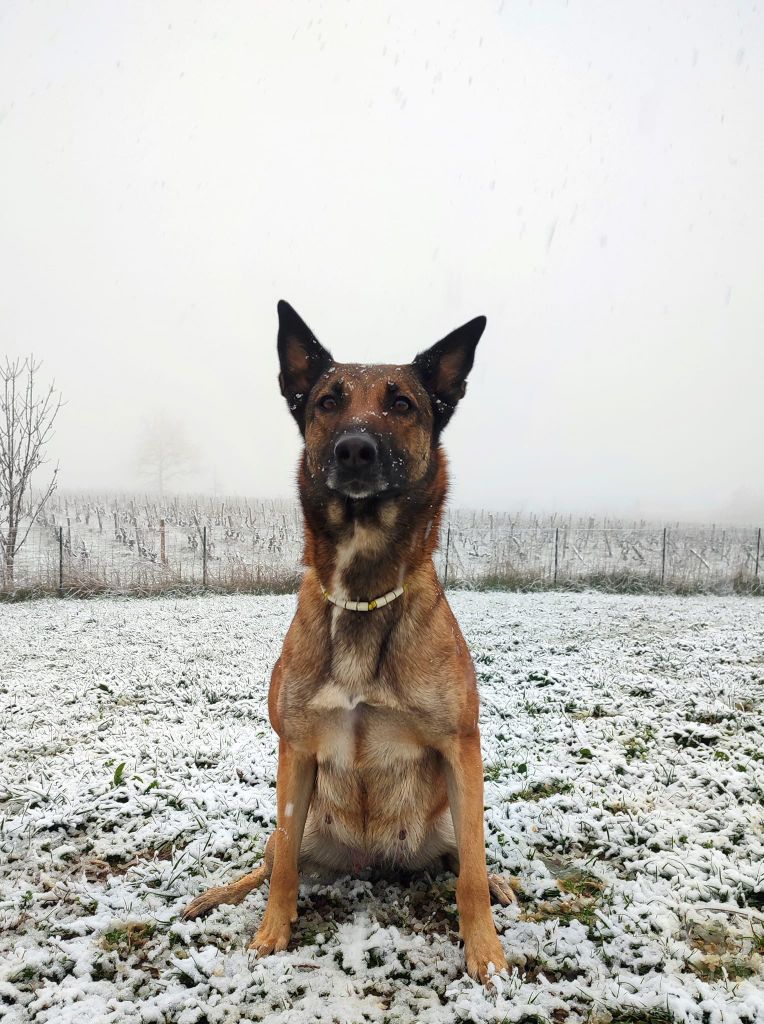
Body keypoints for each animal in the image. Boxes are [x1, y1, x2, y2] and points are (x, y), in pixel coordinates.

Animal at [183, 301, 512, 983]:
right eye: (328, 401)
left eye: (403, 404)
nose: (355, 448)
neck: (363, 593)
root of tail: (374, 862)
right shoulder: (296, 751)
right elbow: (282, 871)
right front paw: (270, 936)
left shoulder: (461, 748)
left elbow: (469, 872)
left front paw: (486, 954)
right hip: (303, 824)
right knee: (271, 859)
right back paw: (217, 894)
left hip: (450, 812)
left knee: (466, 857)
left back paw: (499, 884)